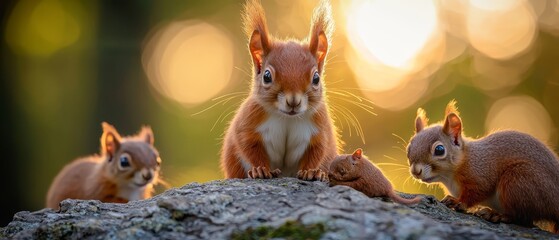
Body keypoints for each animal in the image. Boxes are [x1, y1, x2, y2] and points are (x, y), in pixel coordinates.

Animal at [221, 0, 340, 180]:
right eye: (267, 76)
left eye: (316, 78)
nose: (293, 101)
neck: (287, 118)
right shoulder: (249, 121)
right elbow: (248, 145)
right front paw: (261, 170)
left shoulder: (319, 128)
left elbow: (317, 151)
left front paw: (311, 172)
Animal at [406, 100, 559, 232]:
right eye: (409, 148)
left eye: (439, 150)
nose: (416, 171)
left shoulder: (481, 174)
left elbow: (477, 192)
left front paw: (458, 202)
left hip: (519, 181)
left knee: (523, 218)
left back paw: (497, 215)